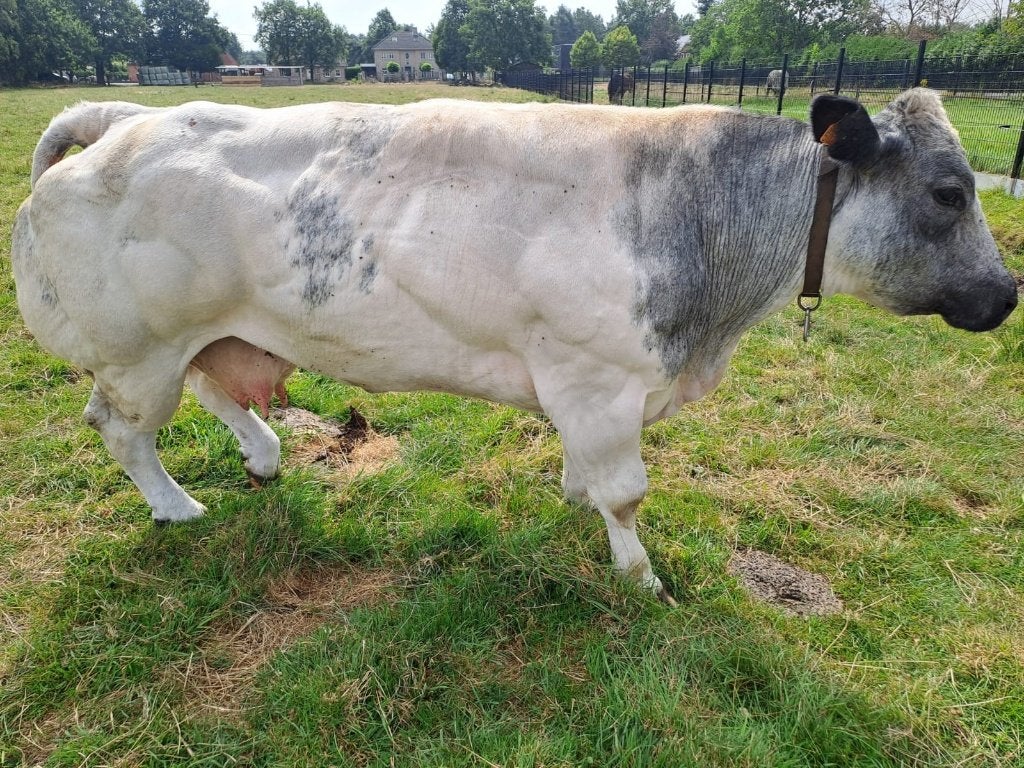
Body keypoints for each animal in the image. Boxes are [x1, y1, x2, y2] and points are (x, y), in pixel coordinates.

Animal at [11, 91, 1017, 604]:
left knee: (216, 389)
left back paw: (263, 455)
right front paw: (640, 579)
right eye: (948, 193)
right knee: (122, 428)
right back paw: (177, 507)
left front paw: (576, 502)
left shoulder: (590, 388)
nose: (1008, 295)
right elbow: (626, 493)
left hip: (212, 331)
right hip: (137, 348)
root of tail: (123, 118)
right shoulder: (598, 375)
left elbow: (588, 477)